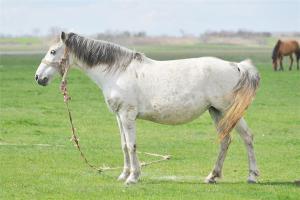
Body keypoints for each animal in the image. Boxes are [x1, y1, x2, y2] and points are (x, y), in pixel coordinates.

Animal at [35, 32, 260, 184]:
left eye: (53, 51)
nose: (38, 77)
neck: (118, 72)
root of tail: (236, 66)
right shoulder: (119, 117)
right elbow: (124, 145)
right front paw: (124, 174)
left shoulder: (127, 115)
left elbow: (132, 145)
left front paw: (133, 177)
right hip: (217, 112)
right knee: (226, 140)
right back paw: (212, 176)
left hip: (228, 110)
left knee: (247, 137)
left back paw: (252, 176)